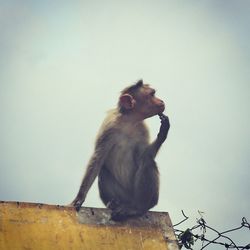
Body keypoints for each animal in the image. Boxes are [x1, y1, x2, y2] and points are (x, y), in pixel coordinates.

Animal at [71, 79, 171, 221]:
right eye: (152, 95)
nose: (161, 101)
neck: (129, 121)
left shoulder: (143, 129)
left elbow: (144, 155)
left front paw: (163, 133)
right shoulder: (109, 127)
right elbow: (97, 158)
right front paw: (79, 198)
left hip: (135, 194)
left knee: (147, 162)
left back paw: (138, 208)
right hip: (123, 194)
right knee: (103, 170)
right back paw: (115, 203)